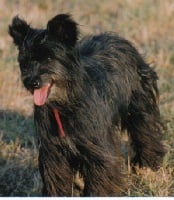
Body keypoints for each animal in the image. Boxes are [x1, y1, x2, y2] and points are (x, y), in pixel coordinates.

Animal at [9, 14, 166, 197]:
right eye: (25, 62)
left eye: (49, 58)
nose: (32, 82)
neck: (65, 104)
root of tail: (121, 40)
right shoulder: (54, 153)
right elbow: (57, 179)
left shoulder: (97, 149)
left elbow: (101, 178)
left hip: (139, 107)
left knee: (145, 132)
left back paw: (148, 165)